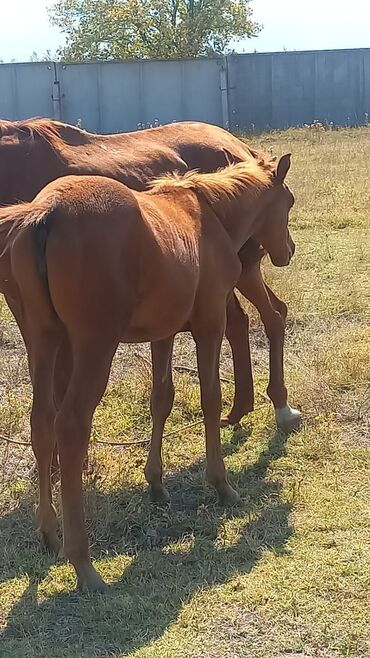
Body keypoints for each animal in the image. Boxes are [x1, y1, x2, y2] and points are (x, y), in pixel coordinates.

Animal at [0, 152, 294, 588]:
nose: (287, 251)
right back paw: (83, 562)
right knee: (70, 426)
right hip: (94, 346)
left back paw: (49, 533)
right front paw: (221, 485)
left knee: (42, 424)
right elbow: (210, 398)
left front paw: (155, 483)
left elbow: (161, 400)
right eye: (288, 202)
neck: (209, 215)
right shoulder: (210, 323)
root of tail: (44, 213)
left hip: (43, 340)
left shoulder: (163, 332)